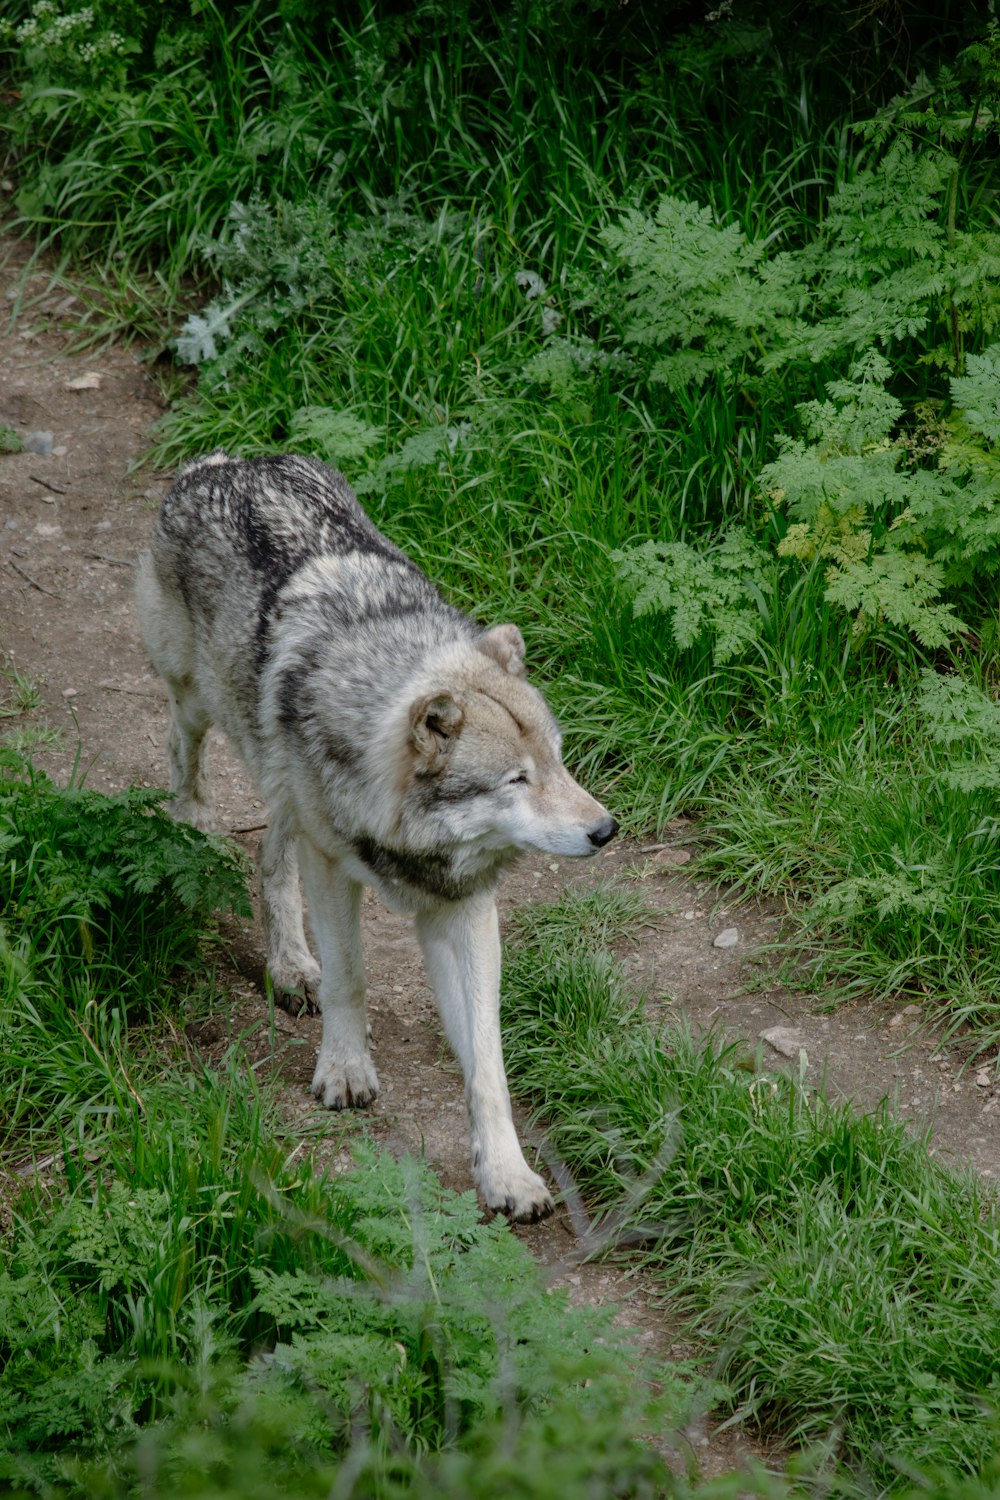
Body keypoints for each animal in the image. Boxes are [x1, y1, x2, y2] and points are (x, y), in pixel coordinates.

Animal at [132, 453, 617, 1218]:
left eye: (559, 763)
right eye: (516, 780)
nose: (606, 829)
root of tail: (228, 461)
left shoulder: (464, 910)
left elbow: (488, 1063)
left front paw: (508, 1175)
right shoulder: (334, 870)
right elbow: (350, 978)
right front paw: (344, 1070)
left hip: (283, 785)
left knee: (270, 855)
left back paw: (288, 965)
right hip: (196, 704)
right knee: (183, 762)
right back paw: (198, 833)